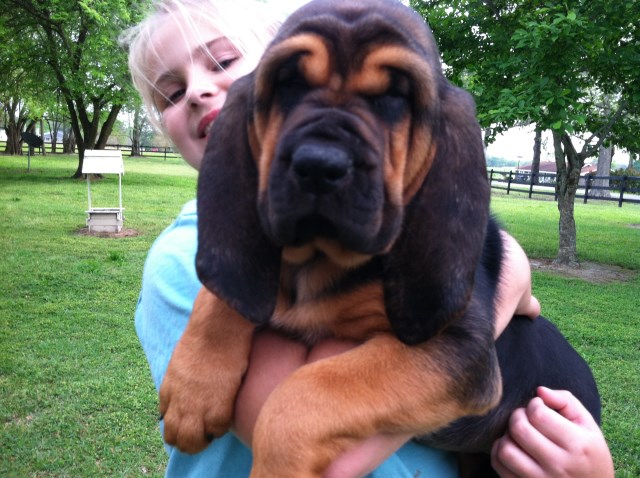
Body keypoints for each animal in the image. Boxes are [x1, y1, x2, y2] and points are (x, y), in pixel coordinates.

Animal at [159, 1, 600, 476]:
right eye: (289, 83)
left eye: (395, 98)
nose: (319, 165)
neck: (316, 261)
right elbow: (224, 291)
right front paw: (193, 391)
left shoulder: (456, 347)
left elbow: (306, 393)